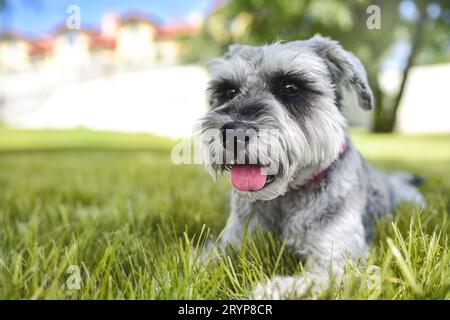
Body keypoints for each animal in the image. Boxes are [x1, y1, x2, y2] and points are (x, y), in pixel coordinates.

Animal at [194, 35, 426, 300]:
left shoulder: (339, 263)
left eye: (291, 88)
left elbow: (304, 285)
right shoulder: (232, 241)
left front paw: (263, 292)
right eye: (229, 91)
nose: (234, 133)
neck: (285, 198)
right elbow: (201, 263)